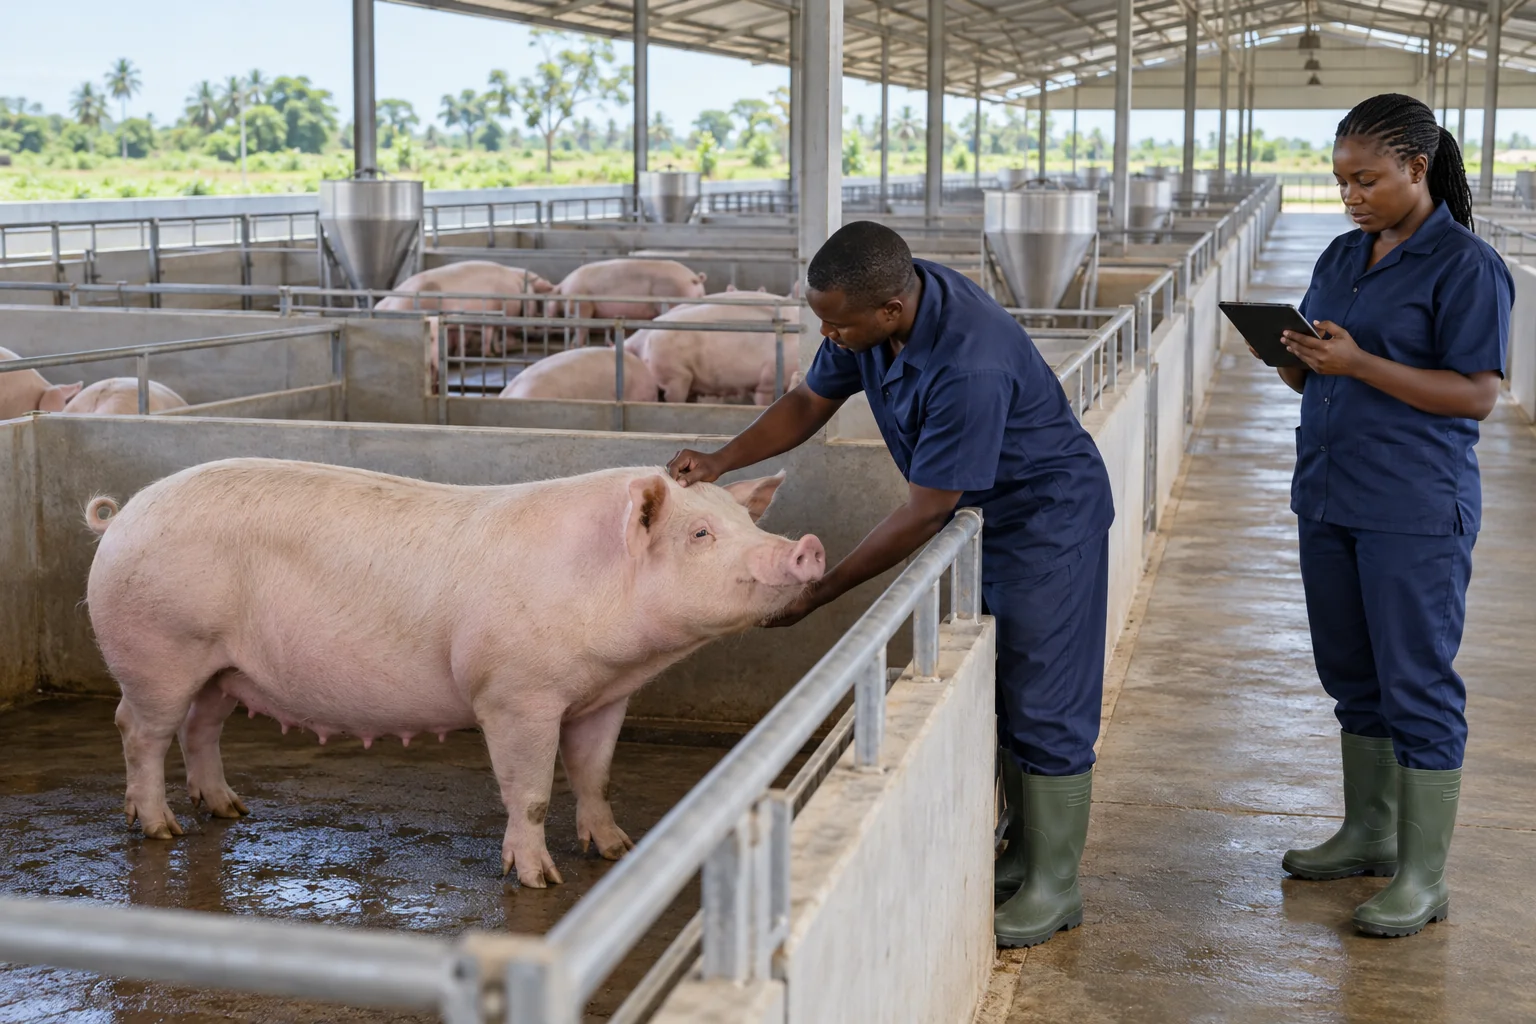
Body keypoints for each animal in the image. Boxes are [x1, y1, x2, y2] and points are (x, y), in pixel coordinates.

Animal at [85, 459, 824, 887]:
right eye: (700, 534)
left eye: (743, 519)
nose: (807, 546)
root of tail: (120, 518)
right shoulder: (515, 693)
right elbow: (531, 792)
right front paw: (539, 880)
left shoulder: (601, 698)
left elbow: (595, 776)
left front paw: (616, 851)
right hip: (159, 648)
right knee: (138, 729)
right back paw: (160, 828)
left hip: (224, 668)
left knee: (200, 729)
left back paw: (228, 809)